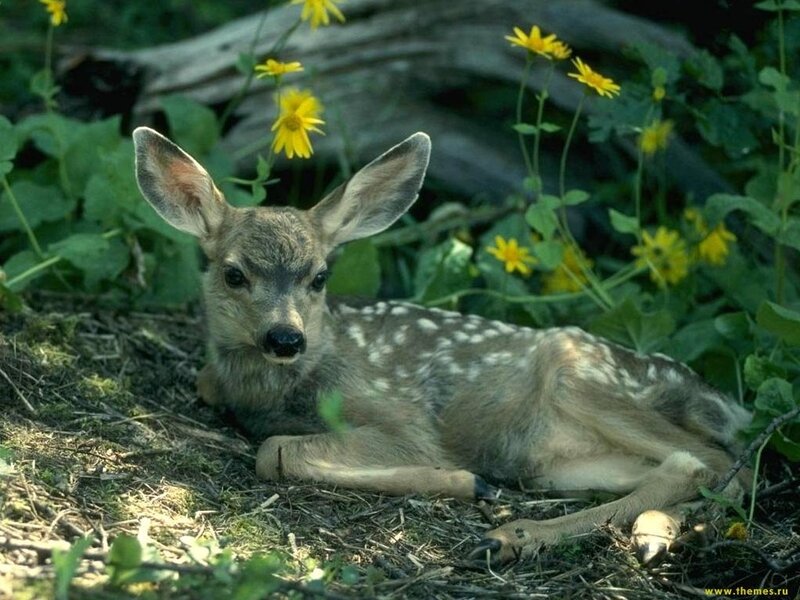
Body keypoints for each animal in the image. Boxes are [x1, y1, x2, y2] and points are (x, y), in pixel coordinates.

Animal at [132, 126, 752, 566]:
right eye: (234, 274)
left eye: (319, 277)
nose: (285, 338)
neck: (277, 390)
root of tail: (719, 401)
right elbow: (226, 402)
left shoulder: (403, 421)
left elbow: (275, 452)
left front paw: (463, 480)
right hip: (555, 465)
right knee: (712, 470)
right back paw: (650, 534)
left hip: (579, 372)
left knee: (705, 460)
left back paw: (512, 535)